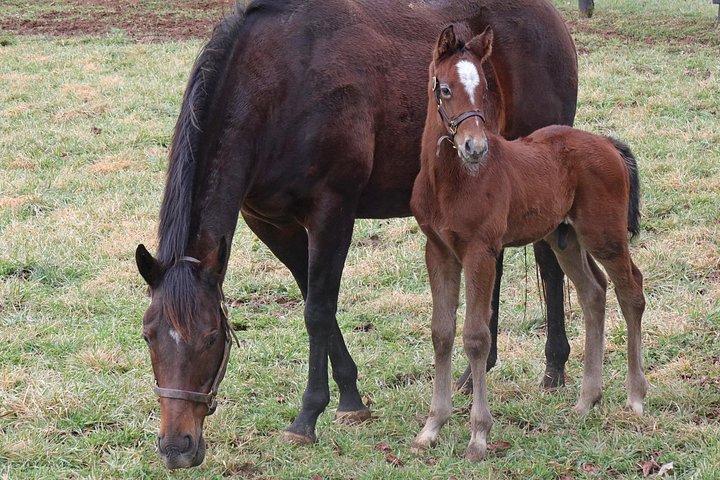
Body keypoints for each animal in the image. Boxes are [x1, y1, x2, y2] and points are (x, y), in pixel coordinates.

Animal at [134, 0, 578, 469]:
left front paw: (307, 417)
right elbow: (315, 302)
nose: (176, 447)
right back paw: (474, 372)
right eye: (148, 335)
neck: (278, 84)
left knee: (549, 264)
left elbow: (317, 311)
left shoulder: (332, 212)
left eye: (211, 337)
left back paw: (554, 366)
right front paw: (350, 397)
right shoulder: (272, 224)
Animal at [410, 25, 648, 461]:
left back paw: (635, 396)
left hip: (603, 234)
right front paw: (432, 427)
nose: (475, 147)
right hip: (565, 238)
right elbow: (441, 333)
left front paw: (478, 436)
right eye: (445, 89)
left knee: (631, 289)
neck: (450, 182)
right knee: (594, 293)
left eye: (485, 87)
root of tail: (608, 143)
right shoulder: (438, 251)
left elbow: (476, 336)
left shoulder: (481, 250)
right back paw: (586, 400)